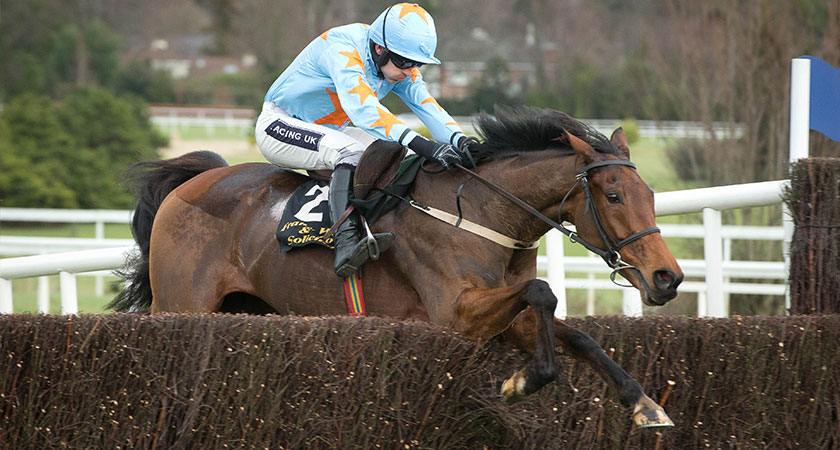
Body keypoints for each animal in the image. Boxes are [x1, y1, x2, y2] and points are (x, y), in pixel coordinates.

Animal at [108, 105, 684, 428]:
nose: (667, 277)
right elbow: (543, 291)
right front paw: (523, 382)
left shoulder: (503, 319)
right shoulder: (457, 314)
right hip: (181, 306)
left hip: (245, 310)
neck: (481, 209)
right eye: (613, 195)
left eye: (651, 195)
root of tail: (191, 182)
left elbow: (580, 336)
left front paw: (643, 404)